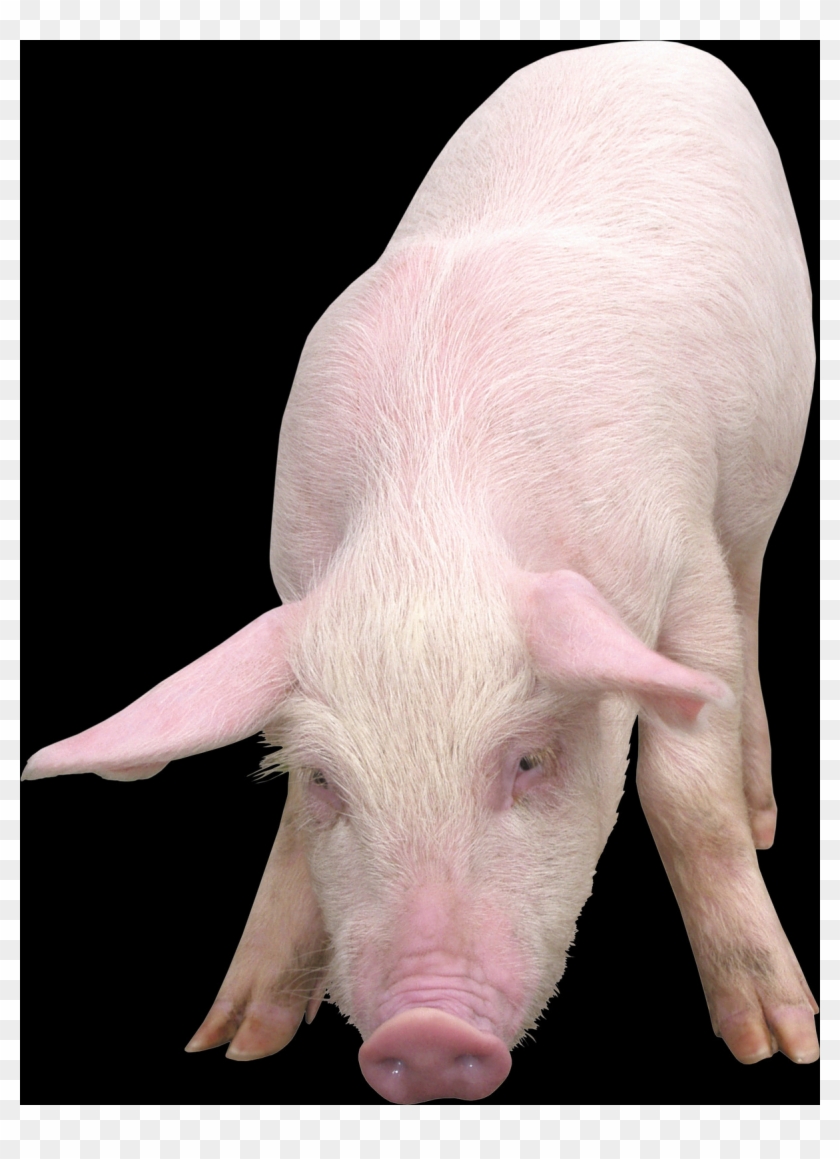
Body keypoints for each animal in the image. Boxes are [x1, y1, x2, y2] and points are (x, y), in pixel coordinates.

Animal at [23, 41, 817, 1103]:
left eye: (528, 760)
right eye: (327, 777)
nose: (428, 1035)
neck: (426, 526)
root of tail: (641, 45)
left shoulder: (680, 547)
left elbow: (686, 794)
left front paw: (779, 1045)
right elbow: (287, 833)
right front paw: (235, 1040)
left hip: (767, 469)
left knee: (753, 596)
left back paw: (765, 810)